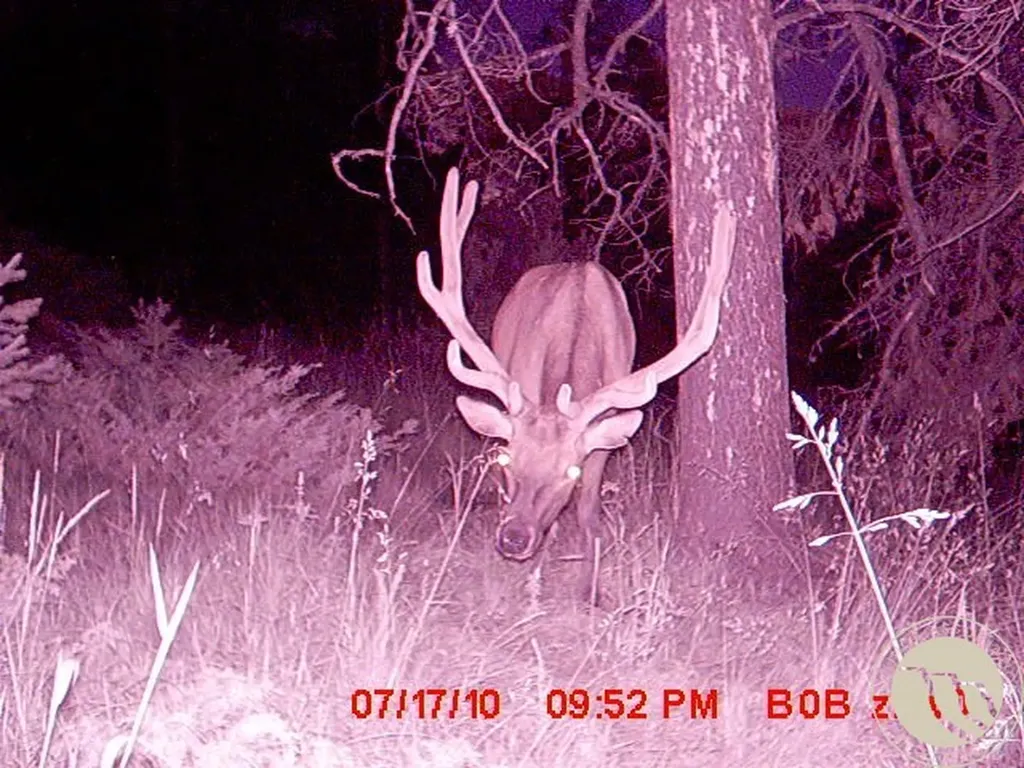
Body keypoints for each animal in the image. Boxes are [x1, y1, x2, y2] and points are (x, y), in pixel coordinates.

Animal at [417, 167, 737, 605]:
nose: (513, 538)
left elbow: (589, 513)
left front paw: (590, 589)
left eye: (570, 470)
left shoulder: (602, 436)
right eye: (508, 458)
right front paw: (535, 578)